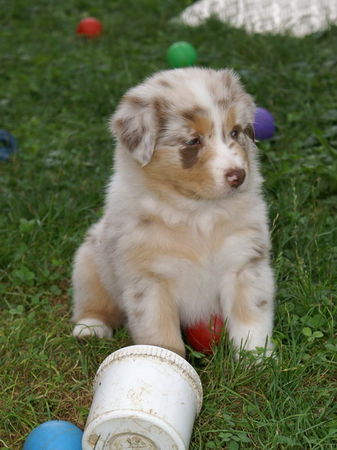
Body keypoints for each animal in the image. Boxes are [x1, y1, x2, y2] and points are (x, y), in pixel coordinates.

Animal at [71, 67, 272, 358]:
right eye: (193, 141)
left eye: (235, 132)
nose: (238, 175)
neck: (198, 213)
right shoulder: (150, 281)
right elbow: (161, 334)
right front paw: (166, 361)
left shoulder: (245, 263)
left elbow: (251, 318)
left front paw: (258, 361)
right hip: (88, 261)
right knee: (93, 300)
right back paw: (90, 327)